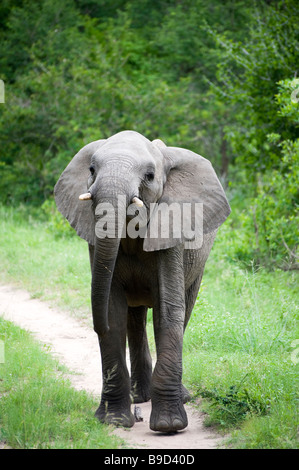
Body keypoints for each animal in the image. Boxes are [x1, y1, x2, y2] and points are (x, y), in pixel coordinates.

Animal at [54, 130, 232, 432]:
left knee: (183, 309)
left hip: (199, 262)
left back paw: (177, 396)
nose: (96, 326)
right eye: (91, 170)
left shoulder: (172, 232)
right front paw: (114, 422)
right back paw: (139, 397)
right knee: (134, 320)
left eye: (149, 176)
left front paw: (169, 427)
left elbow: (168, 310)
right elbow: (112, 311)